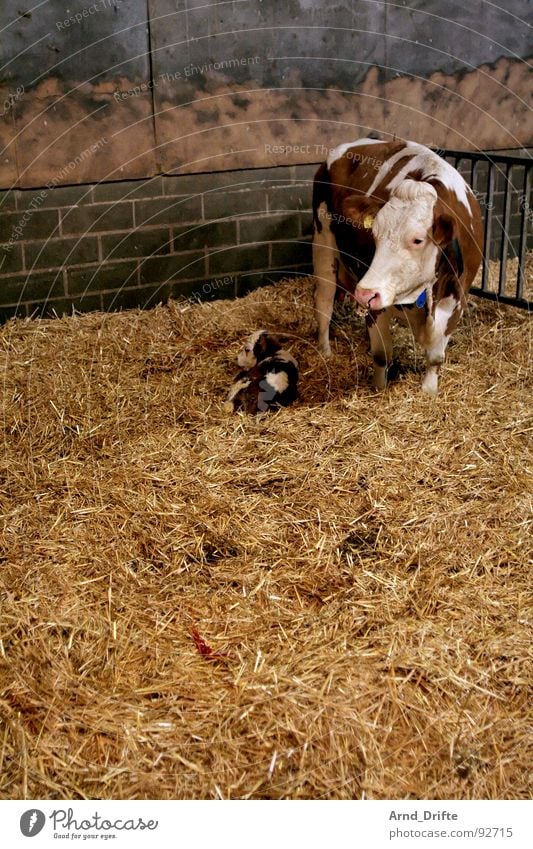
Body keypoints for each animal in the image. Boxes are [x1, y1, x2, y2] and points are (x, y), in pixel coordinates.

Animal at [312, 136, 482, 394]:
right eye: (374, 233)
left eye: (417, 240)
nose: (364, 293)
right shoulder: (375, 302)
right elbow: (381, 354)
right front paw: (379, 387)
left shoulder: (456, 300)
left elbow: (436, 356)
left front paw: (429, 391)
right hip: (323, 243)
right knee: (324, 302)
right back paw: (325, 352)